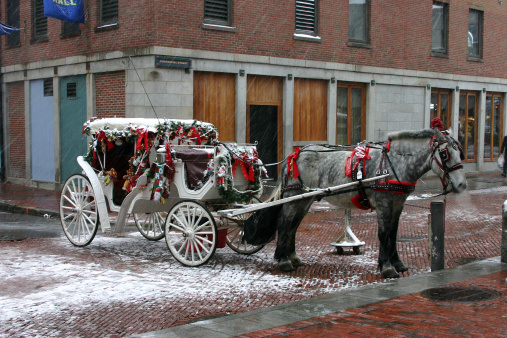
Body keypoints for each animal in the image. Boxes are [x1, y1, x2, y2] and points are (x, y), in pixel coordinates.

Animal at [247, 128, 468, 278]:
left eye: (461, 153)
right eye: (445, 153)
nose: (462, 184)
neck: (394, 164)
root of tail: (296, 153)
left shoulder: (398, 204)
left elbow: (393, 233)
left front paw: (397, 263)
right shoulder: (384, 204)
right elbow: (384, 234)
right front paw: (387, 267)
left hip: (305, 199)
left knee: (293, 226)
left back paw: (292, 257)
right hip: (295, 197)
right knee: (285, 223)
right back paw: (283, 260)